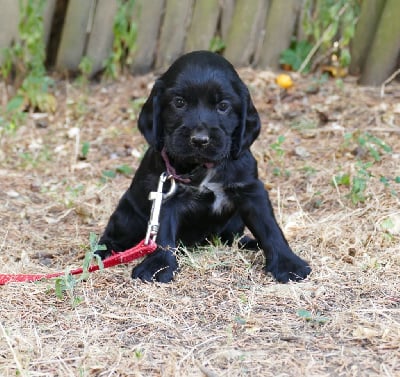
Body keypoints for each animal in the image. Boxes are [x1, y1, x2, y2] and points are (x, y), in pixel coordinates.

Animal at [98, 50, 310, 282]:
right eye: (179, 102)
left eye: (223, 106)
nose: (200, 140)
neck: (204, 167)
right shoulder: (167, 196)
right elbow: (163, 234)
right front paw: (158, 266)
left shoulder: (251, 190)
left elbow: (270, 228)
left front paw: (288, 263)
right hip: (127, 215)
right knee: (110, 237)